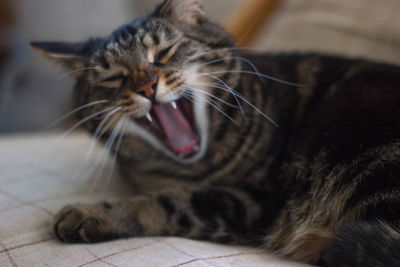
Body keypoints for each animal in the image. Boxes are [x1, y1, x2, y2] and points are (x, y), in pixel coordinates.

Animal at [31, 1, 400, 266]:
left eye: (163, 53)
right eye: (115, 78)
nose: (147, 86)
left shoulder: (253, 200)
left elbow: (168, 203)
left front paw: (91, 213)